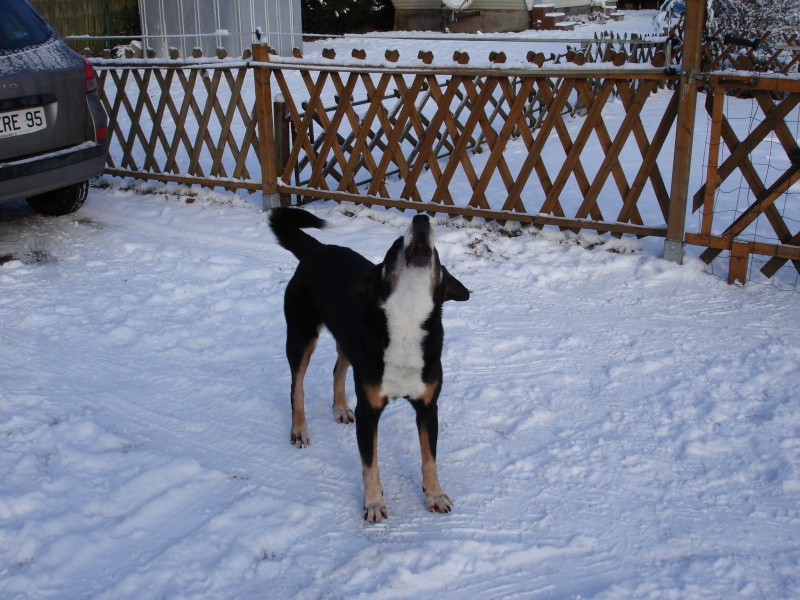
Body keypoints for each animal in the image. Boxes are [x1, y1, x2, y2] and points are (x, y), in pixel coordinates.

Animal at [268, 207, 468, 524]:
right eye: (396, 246)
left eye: (436, 252)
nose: (421, 219)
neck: (408, 321)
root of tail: (318, 249)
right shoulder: (368, 410)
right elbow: (369, 464)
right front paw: (374, 503)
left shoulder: (428, 408)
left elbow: (430, 458)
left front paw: (435, 495)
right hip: (301, 336)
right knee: (296, 386)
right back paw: (299, 429)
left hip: (349, 341)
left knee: (337, 370)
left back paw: (340, 408)